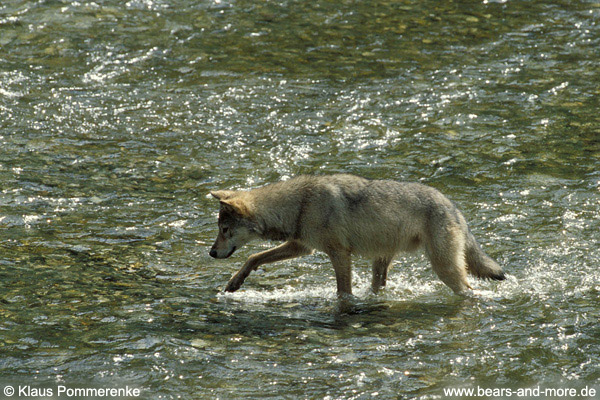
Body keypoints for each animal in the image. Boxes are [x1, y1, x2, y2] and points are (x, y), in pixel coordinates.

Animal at [209, 175, 504, 296]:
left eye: (224, 230)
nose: (211, 253)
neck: (300, 204)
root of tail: (454, 208)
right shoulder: (302, 247)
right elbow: (254, 258)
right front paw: (234, 283)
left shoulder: (339, 254)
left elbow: (343, 292)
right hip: (381, 263)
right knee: (377, 287)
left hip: (444, 268)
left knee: (469, 290)